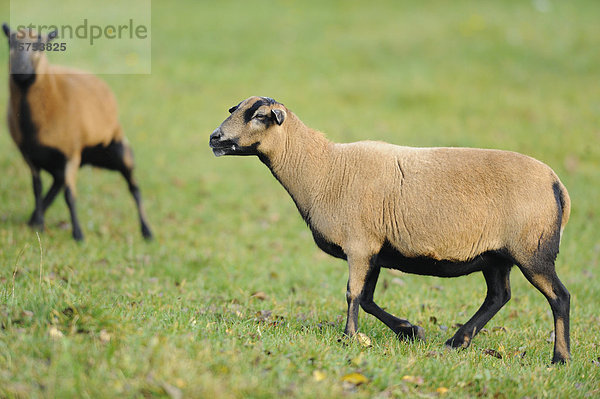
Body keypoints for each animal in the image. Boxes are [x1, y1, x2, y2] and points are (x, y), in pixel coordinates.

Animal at [2, 25, 152, 244]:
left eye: (41, 45)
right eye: (10, 42)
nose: (21, 71)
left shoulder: (71, 153)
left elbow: (70, 196)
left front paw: (78, 234)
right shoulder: (29, 155)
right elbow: (37, 188)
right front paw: (39, 224)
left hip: (117, 150)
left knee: (134, 187)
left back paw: (147, 231)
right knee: (57, 183)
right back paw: (33, 218)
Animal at [210, 97, 572, 366]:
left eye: (259, 116)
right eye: (233, 110)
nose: (214, 138)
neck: (323, 170)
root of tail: (557, 185)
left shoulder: (358, 245)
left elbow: (353, 294)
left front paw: (350, 337)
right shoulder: (374, 250)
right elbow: (368, 298)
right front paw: (409, 331)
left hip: (532, 250)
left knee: (559, 297)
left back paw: (560, 358)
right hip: (496, 255)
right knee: (498, 296)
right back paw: (457, 341)